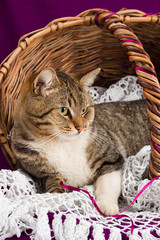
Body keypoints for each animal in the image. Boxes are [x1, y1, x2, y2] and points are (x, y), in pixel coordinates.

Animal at [11, 68, 150, 216]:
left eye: (84, 110)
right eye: (63, 110)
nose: (81, 127)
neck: (60, 142)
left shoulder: (112, 157)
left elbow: (108, 182)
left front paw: (107, 206)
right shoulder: (44, 174)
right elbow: (54, 187)